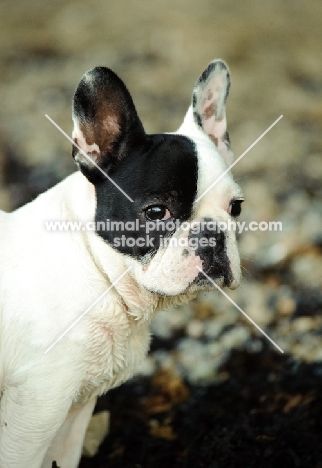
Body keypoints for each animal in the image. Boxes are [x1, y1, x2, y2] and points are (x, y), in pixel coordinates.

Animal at [0, 60, 243, 466]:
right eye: (156, 212)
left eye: (236, 208)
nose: (212, 234)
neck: (103, 276)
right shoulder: (32, 414)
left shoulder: (73, 412)